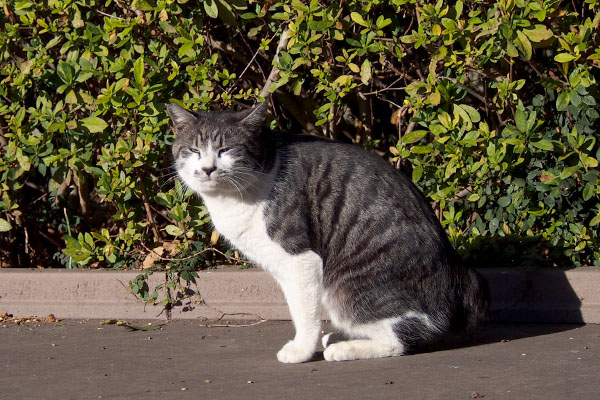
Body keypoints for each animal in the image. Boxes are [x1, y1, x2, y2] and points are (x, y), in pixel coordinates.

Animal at [168, 101, 488, 364]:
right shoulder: (281, 267)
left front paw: (300, 351)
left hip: (348, 288)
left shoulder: (300, 258)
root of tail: (458, 274)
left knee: (406, 335)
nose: (208, 168)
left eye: (226, 151)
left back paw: (344, 348)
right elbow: (298, 306)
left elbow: (303, 313)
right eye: (194, 150)